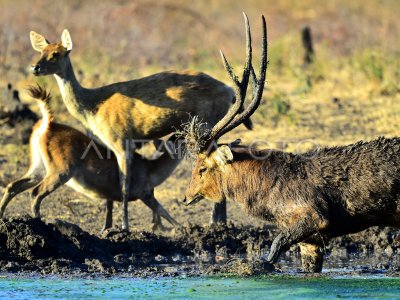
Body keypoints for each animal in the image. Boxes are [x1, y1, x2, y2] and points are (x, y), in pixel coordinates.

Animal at [0, 84, 183, 232]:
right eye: (181, 141)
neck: (151, 169)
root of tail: (48, 124)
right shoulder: (144, 193)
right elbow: (162, 210)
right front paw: (182, 229)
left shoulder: (112, 194)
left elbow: (110, 213)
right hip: (61, 171)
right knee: (35, 192)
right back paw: (38, 222)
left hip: (39, 168)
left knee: (13, 185)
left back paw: (3, 216)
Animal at [29, 25, 253, 232]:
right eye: (41, 51)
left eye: (57, 53)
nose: (35, 67)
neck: (92, 106)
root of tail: (229, 91)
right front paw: (107, 227)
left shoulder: (122, 143)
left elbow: (124, 186)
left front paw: (125, 226)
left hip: (207, 125)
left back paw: (215, 222)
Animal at [183, 14, 400, 274]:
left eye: (202, 168)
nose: (185, 197)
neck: (264, 192)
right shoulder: (311, 242)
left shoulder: (314, 216)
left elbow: (275, 246)